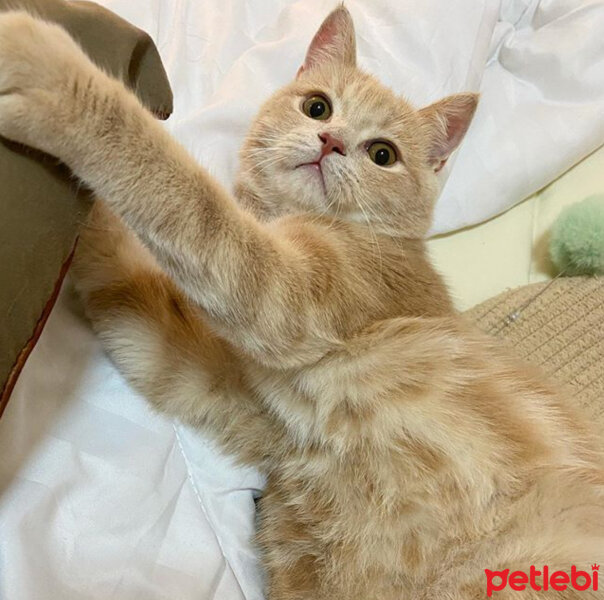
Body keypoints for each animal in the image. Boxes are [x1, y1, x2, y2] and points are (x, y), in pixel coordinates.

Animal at [2, 7, 600, 596]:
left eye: (382, 154)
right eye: (318, 107)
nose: (331, 141)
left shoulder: (289, 296)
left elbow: (184, 196)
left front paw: (50, 74)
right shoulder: (224, 389)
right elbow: (130, 284)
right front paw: (87, 222)